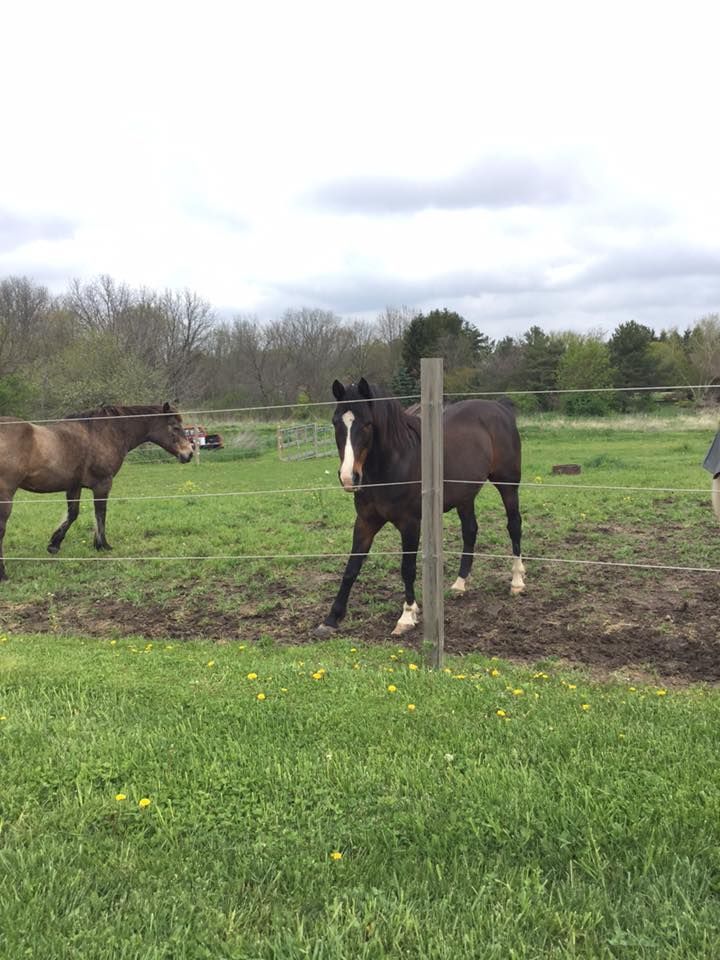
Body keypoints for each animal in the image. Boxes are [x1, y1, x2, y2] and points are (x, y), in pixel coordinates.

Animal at [0, 402, 194, 581]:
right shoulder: (103, 484)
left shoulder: (74, 486)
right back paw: (3, 574)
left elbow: (73, 514)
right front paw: (102, 545)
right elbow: (100, 513)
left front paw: (54, 544)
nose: (189, 454)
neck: (104, 433)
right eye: (175, 427)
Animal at [317, 377, 525, 636]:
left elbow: (407, 568)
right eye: (336, 422)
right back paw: (459, 584)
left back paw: (517, 581)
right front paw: (331, 618)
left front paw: (407, 616)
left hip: (508, 485)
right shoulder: (366, 521)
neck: (394, 463)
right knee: (470, 531)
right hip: (465, 495)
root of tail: (501, 408)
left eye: (367, 424)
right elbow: (351, 567)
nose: (348, 478)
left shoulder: (410, 524)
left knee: (514, 526)